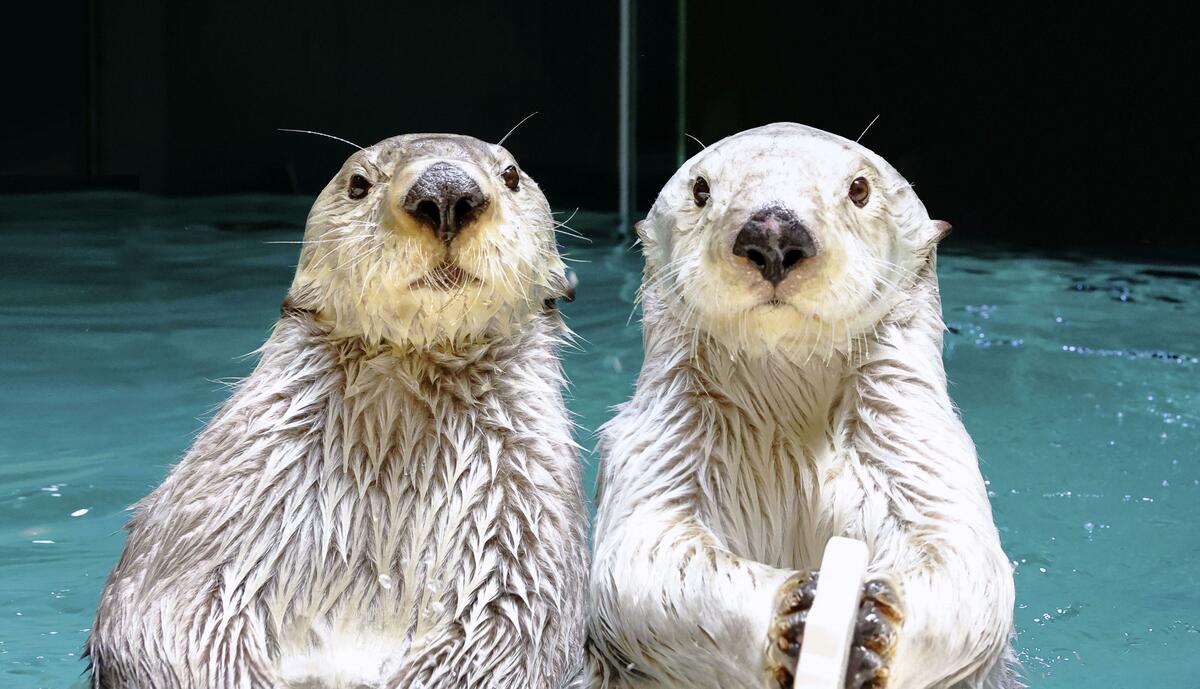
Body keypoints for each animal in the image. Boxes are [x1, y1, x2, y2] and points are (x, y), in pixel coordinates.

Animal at [86, 134, 588, 689]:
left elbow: (505, 635)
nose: (445, 191)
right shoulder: (209, 517)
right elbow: (168, 624)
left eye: (511, 176)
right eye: (359, 183)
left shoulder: (524, 535)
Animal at [588, 123, 1016, 689]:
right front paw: (799, 609)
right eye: (701, 189)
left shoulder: (916, 448)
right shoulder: (663, 444)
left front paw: (872, 621)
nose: (773, 233)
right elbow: (644, 559)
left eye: (860, 188)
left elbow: (964, 563)